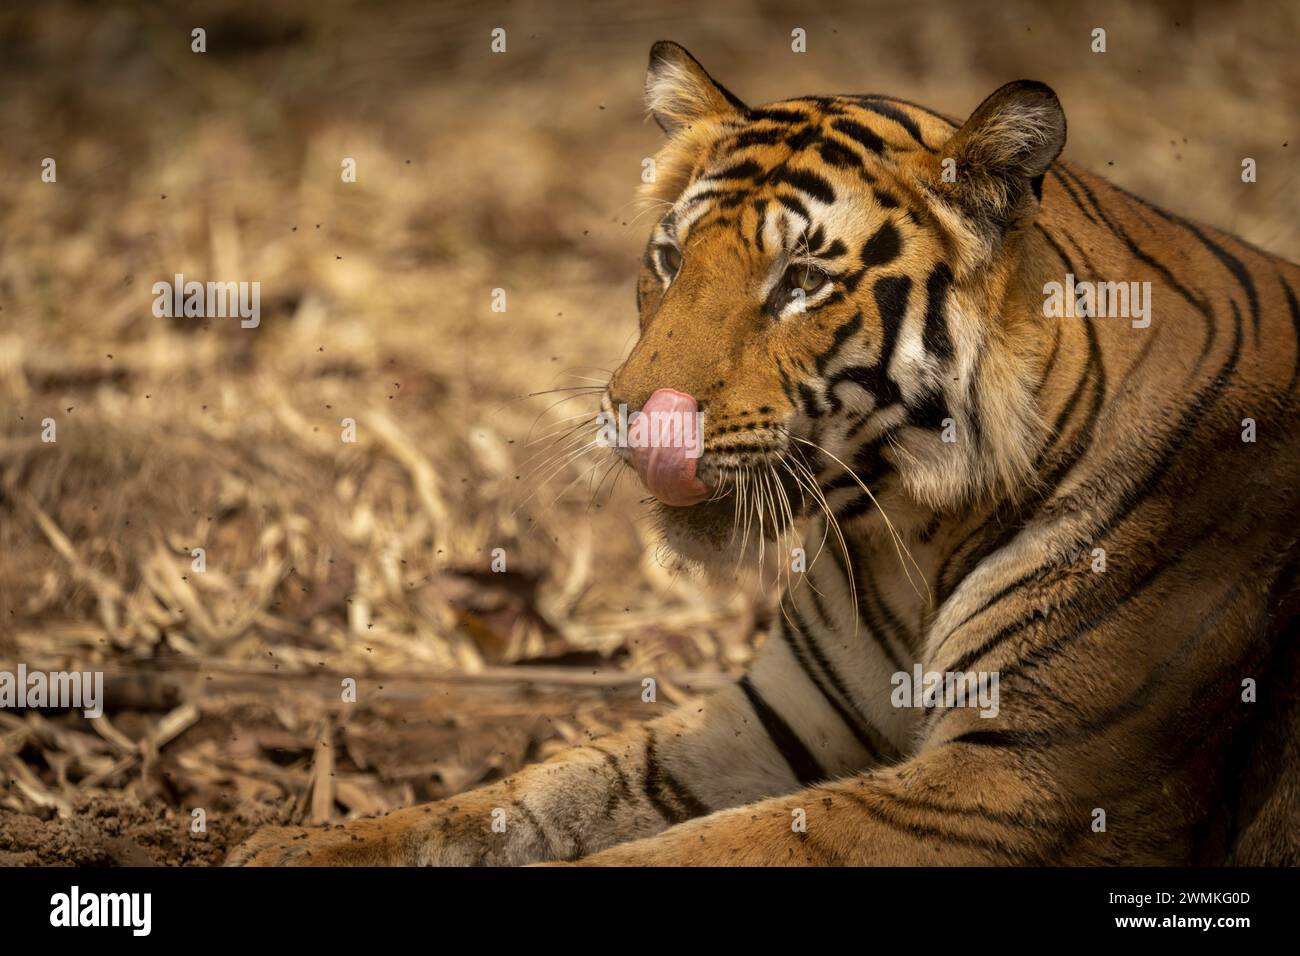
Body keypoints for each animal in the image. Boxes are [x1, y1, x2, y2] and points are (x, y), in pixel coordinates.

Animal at [229, 41, 1300, 866]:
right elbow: (535, 792)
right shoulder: (782, 719)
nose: (637, 417)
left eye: (799, 281)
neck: (905, 529)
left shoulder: (1030, 773)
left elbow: (694, 852)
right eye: (669, 259)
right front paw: (297, 845)